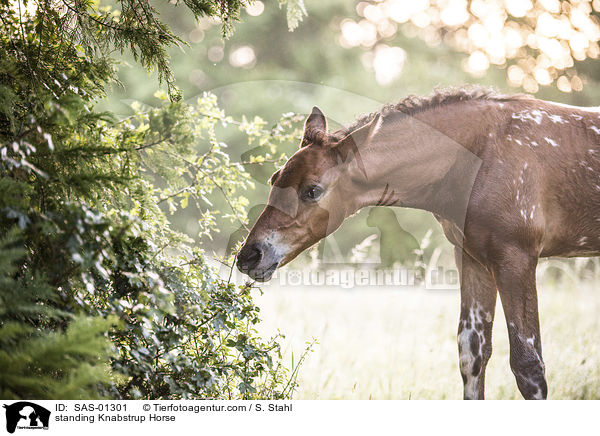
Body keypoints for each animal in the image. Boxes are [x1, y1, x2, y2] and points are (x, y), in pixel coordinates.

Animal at [236, 87, 600, 400]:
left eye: (312, 190)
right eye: (275, 179)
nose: (249, 256)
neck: (480, 155)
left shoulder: (516, 258)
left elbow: (528, 366)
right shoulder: (473, 257)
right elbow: (472, 354)